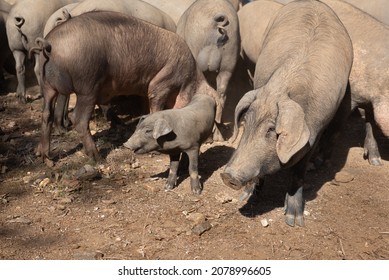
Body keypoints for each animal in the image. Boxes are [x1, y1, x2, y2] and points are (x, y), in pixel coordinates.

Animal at [32, 10, 221, 164]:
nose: (211, 139)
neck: (191, 77)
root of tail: (49, 44)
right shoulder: (162, 82)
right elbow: (156, 104)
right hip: (87, 84)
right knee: (79, 119)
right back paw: (98, 158)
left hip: (46, 86)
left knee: (46, 114)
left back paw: (44, 158)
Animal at [220, 0, 354, 226]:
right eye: (246, 121)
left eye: (271, 130)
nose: (228, 176)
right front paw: (245, 197)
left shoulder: (315, 132)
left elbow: (299, 172)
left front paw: (294, 220)